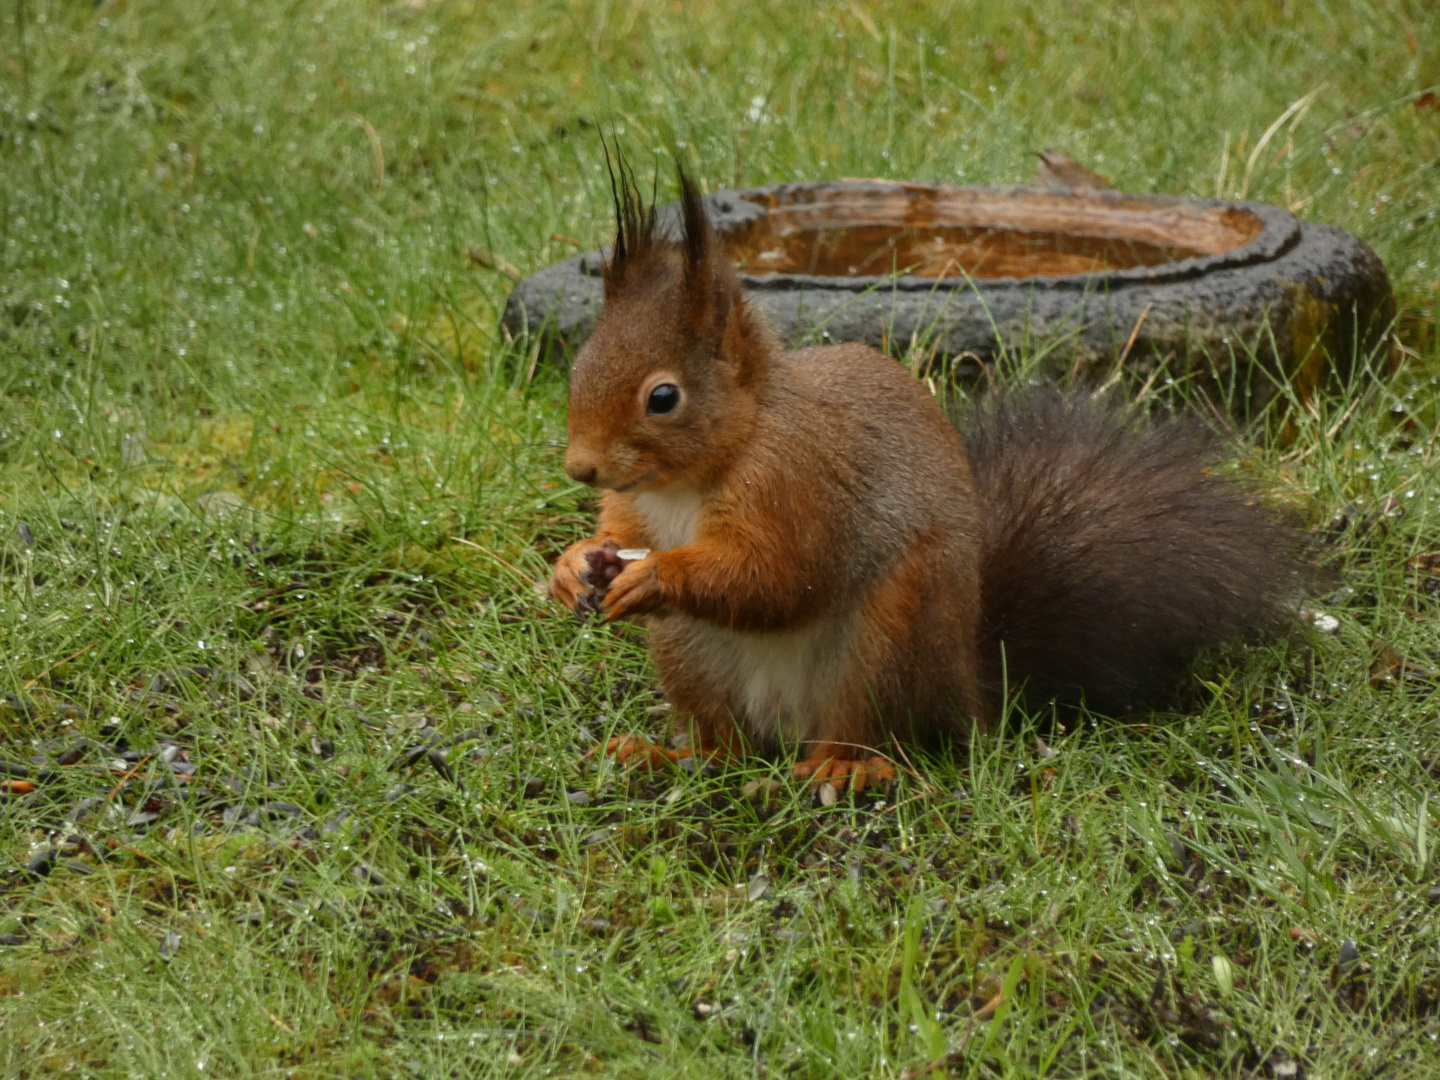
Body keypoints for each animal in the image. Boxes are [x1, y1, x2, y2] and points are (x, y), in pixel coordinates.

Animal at [544, 171, 1313, 794]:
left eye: (662, 397)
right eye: (579, 364)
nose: (581, 467)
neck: (697, 472)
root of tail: (969, 692)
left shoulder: (798, 479)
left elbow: (781, 574)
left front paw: (657, 575)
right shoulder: (639, 505)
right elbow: (622, 530)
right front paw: (573, 565)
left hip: (890, 634)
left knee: (872, 733)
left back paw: (842, 769)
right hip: (691, 656)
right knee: (729, 747)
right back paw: (673, 756)